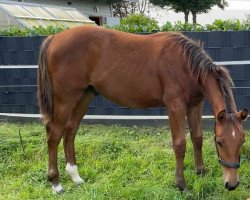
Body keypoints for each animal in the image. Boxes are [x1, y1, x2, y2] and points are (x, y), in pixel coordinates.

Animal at [37, 25, 248, 193]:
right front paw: (181, 184)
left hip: (84, 97)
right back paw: (56, 183)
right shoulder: (175, 106)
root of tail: (54, 37)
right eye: (220, 142)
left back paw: (76, 177)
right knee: (54, 135)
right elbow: (179, 144)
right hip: (65, 100)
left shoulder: (195, 105)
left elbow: (197, 138)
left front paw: (200, 171)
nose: (232, 184)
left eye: (242, 141)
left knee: (70, 131)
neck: (186, 64)